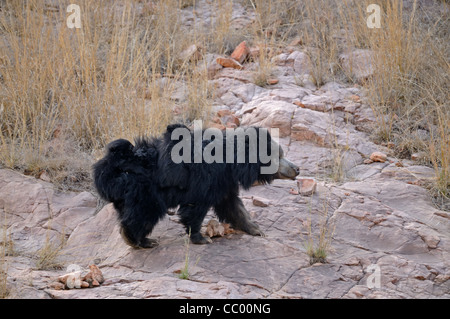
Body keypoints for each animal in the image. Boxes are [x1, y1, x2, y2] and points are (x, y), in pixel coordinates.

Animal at [93, 124, 298, 249]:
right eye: (278, 156)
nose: (297, 169)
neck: (232, 163)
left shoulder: (224, 181)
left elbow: (232, 206)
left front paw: (256, 229)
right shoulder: (206, 178)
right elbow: (196, 207)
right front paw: (201, 238)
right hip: (144, 190)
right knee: (143, 214)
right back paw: (138, 240)